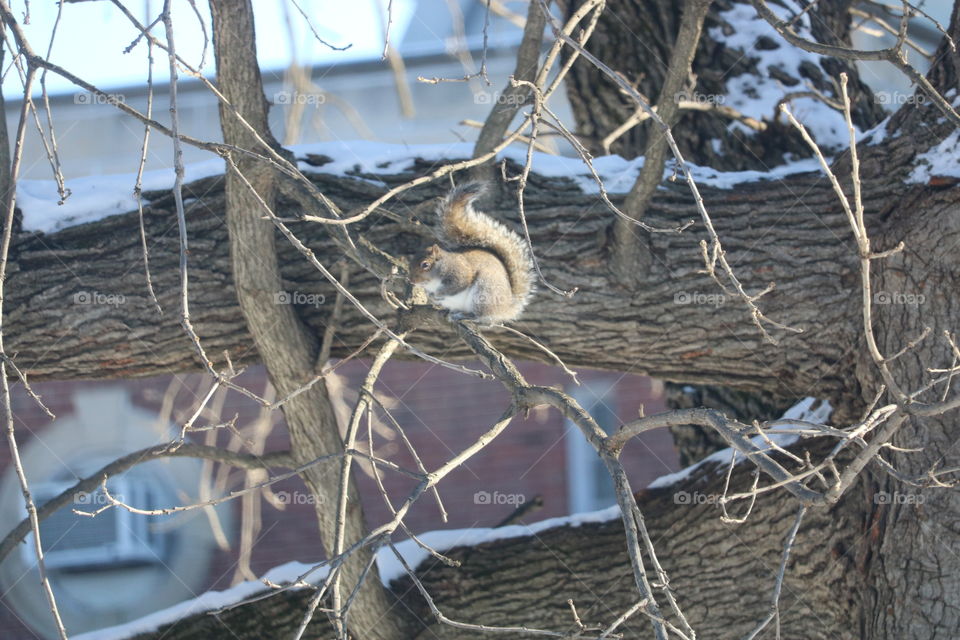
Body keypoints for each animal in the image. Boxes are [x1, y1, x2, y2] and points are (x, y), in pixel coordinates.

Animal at [410, 183, 535, 324]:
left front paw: (437, 294)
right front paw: (431, 296)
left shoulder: (459, 273)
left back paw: (466, 316)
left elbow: (457, 286)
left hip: (484, 292)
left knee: (483, 317)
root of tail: (507, 308)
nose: (411, 281)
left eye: (425, 265)